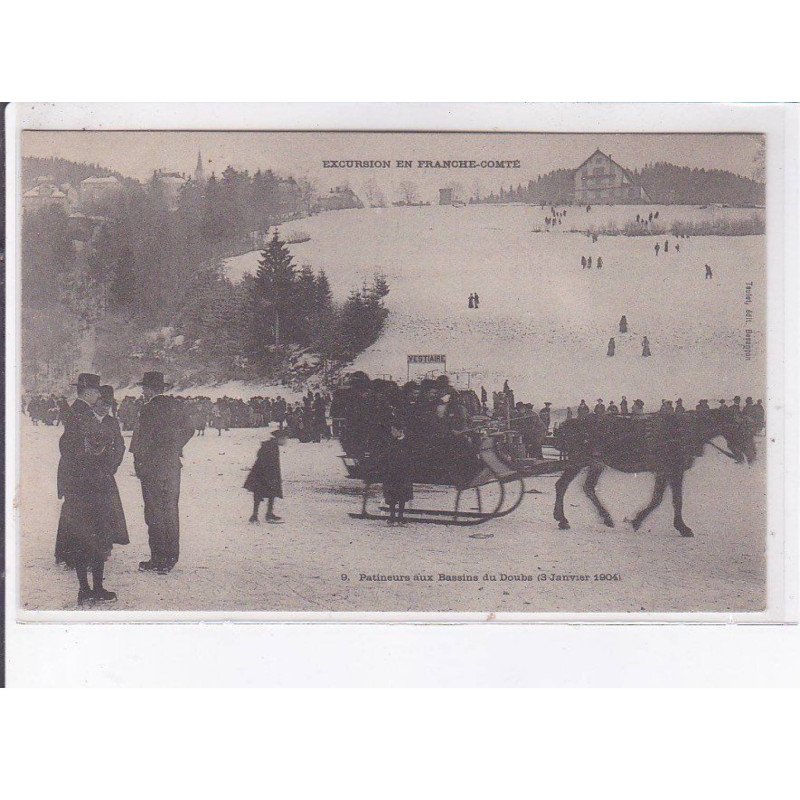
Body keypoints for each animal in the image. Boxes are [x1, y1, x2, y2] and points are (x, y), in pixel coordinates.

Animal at [552, 412, 760, 536]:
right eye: (742, 430)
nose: (753, 457)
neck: (685, 431)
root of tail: (567, 425)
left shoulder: (664, 472)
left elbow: (658, 499)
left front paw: (637, 521)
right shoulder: (673, 471)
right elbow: (674, 500)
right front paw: (682, 527)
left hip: (596, 464)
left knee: (588, 487)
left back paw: (606, 518)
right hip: (578, 461)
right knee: (562, 485)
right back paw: (562, 520)